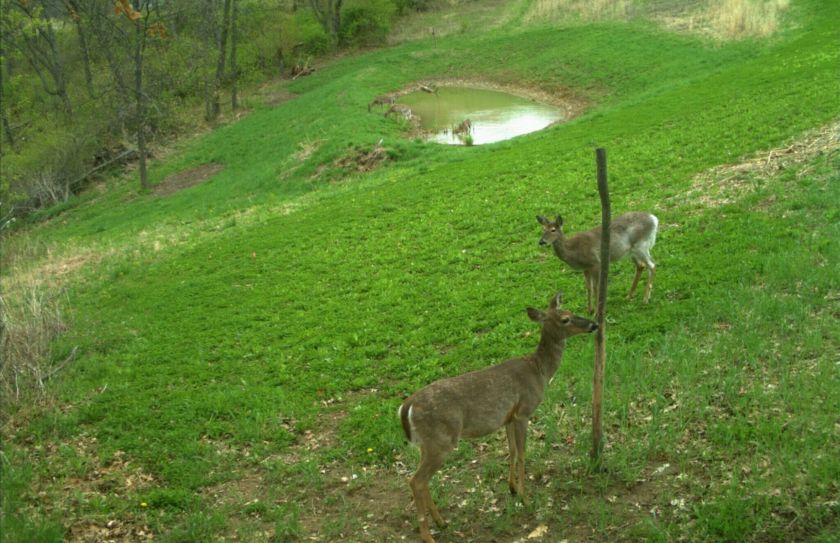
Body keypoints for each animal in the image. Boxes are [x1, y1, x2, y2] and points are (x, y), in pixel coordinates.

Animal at [398, 294, 596, 543]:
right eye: (565, 319)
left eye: (569, 310)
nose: (594, 325)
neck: (539, 371)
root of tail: (407, 407)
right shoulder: (523, 411)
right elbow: (522, 453)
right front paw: (525, 497)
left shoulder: (508, 417)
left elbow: (511, 451)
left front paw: (512, 488)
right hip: (440, 440)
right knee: (416, 480)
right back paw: (428, 535)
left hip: (427, 443)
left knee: (421, 480)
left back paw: (441, 521)